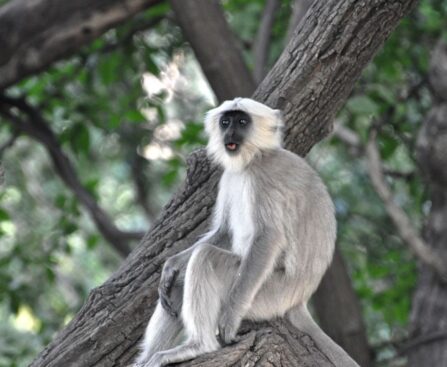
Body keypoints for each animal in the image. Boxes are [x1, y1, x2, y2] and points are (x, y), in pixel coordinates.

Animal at [134, 98, 360, 367]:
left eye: (242, 122)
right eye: (225, 121)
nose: (230, 133)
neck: (255, 157)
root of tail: (299, 300)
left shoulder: (263, 179)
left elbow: (268, 237)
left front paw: (229, 321)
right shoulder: (229, 177)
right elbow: (224, 232)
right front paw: (172, 264)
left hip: (267, 294)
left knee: (207, 257)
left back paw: (199, 346)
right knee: (180, 280)